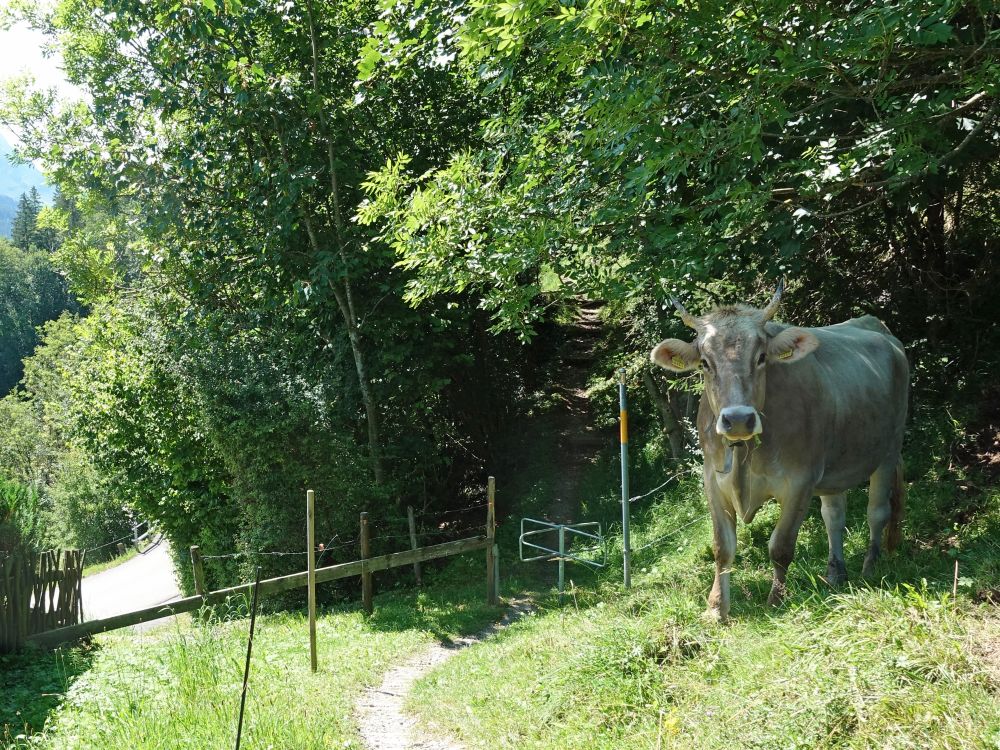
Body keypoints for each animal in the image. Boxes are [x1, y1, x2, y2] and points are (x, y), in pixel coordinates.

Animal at [652, 282, 912, 624]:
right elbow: (722, 548)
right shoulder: (713, 481)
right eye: (705, 363)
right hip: (836, 466)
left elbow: (781, 546)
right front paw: (716, 608)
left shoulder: (800, 481)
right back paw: (835, 575)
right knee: (834, 516)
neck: (746, 454)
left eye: (762, 357)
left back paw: (869, 569)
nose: (738, 419)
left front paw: (776, 600)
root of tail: (876, 325)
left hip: (889, 450)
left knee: (876, 512)